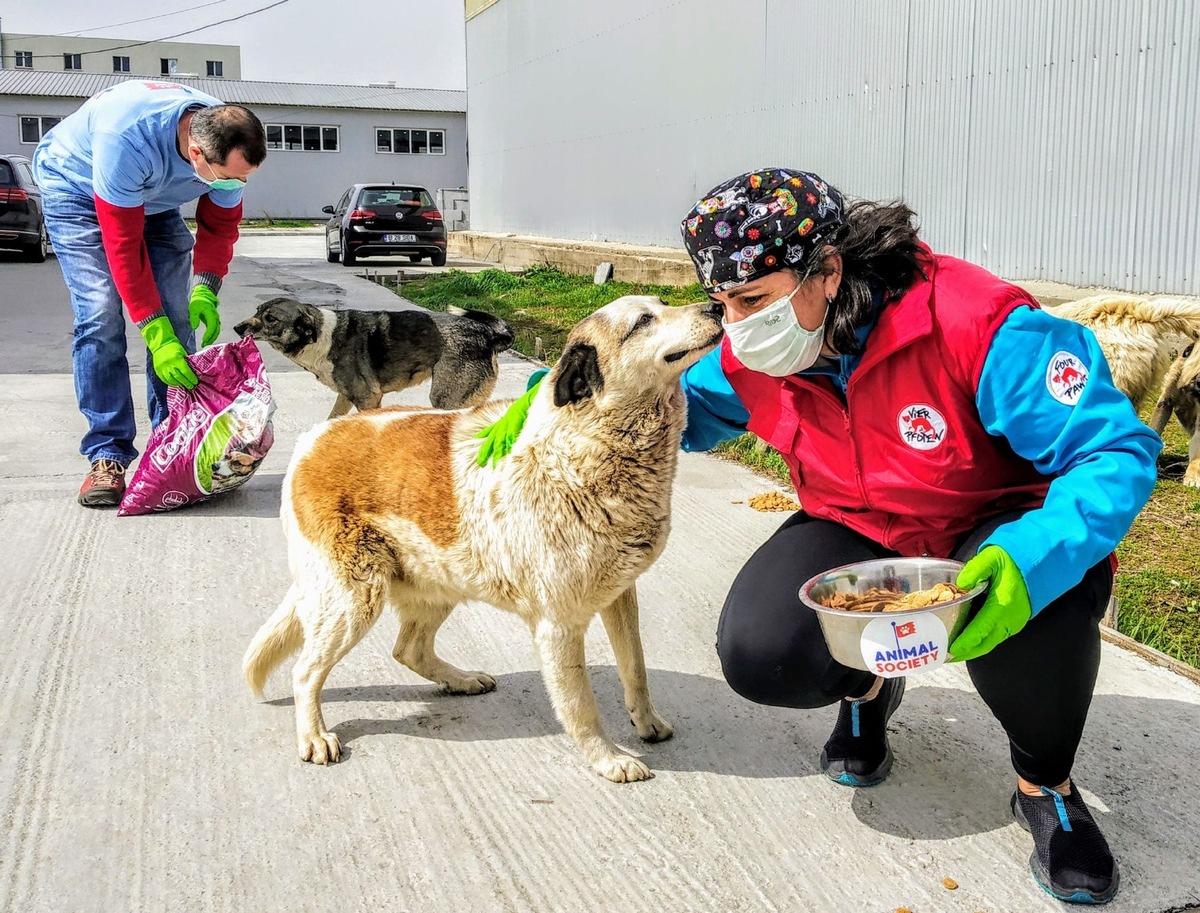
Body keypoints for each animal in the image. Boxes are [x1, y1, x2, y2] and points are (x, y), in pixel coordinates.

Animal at [236, 295, 513, 417]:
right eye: (257, 310)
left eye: (270, 318)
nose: (238, 328)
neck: (320, 337)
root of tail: (489, 335)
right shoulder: (346, 397)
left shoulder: (368, 398)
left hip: (445, 398)